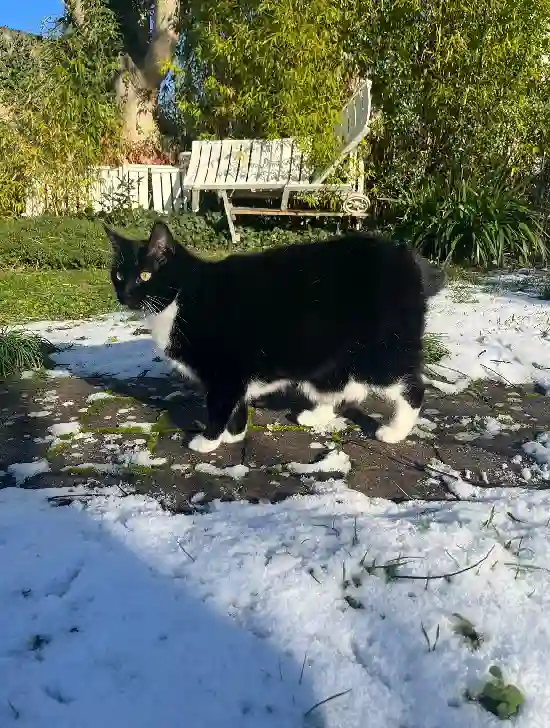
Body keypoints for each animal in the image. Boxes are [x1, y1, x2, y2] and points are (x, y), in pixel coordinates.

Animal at [105, 219, 446, 452]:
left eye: (145, 274)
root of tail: (406, 257)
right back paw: (317, 415)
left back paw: (395, 431)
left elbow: (218, 406)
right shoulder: (234, 374)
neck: (181, 297)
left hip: (381, 349)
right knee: (345, 386)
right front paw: (235, 435)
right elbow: (237, 405)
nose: (125, 294)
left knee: (411, 388)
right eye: (119, 275)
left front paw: (208, 440)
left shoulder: (225, 371)